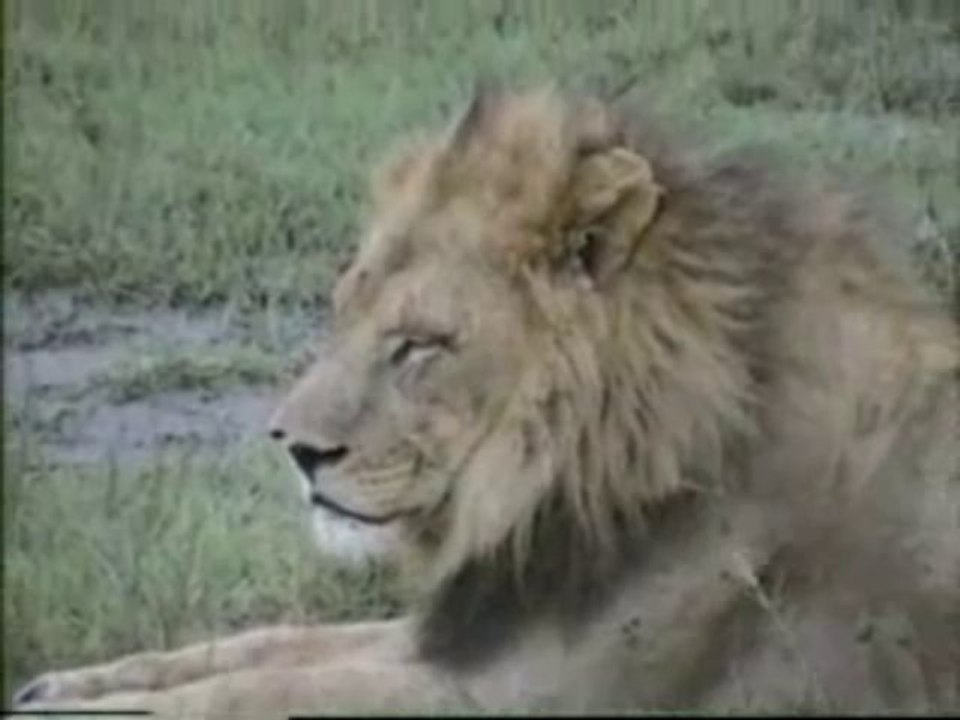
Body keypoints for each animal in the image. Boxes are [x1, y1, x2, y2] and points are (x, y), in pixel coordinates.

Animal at [14, 85, 959, 717]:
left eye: (420, 345)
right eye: (345, 310)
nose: (294, 447)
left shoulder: (548, 694)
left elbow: (270, 688)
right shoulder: (479, 627)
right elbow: (272, 643)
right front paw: (69, 682)